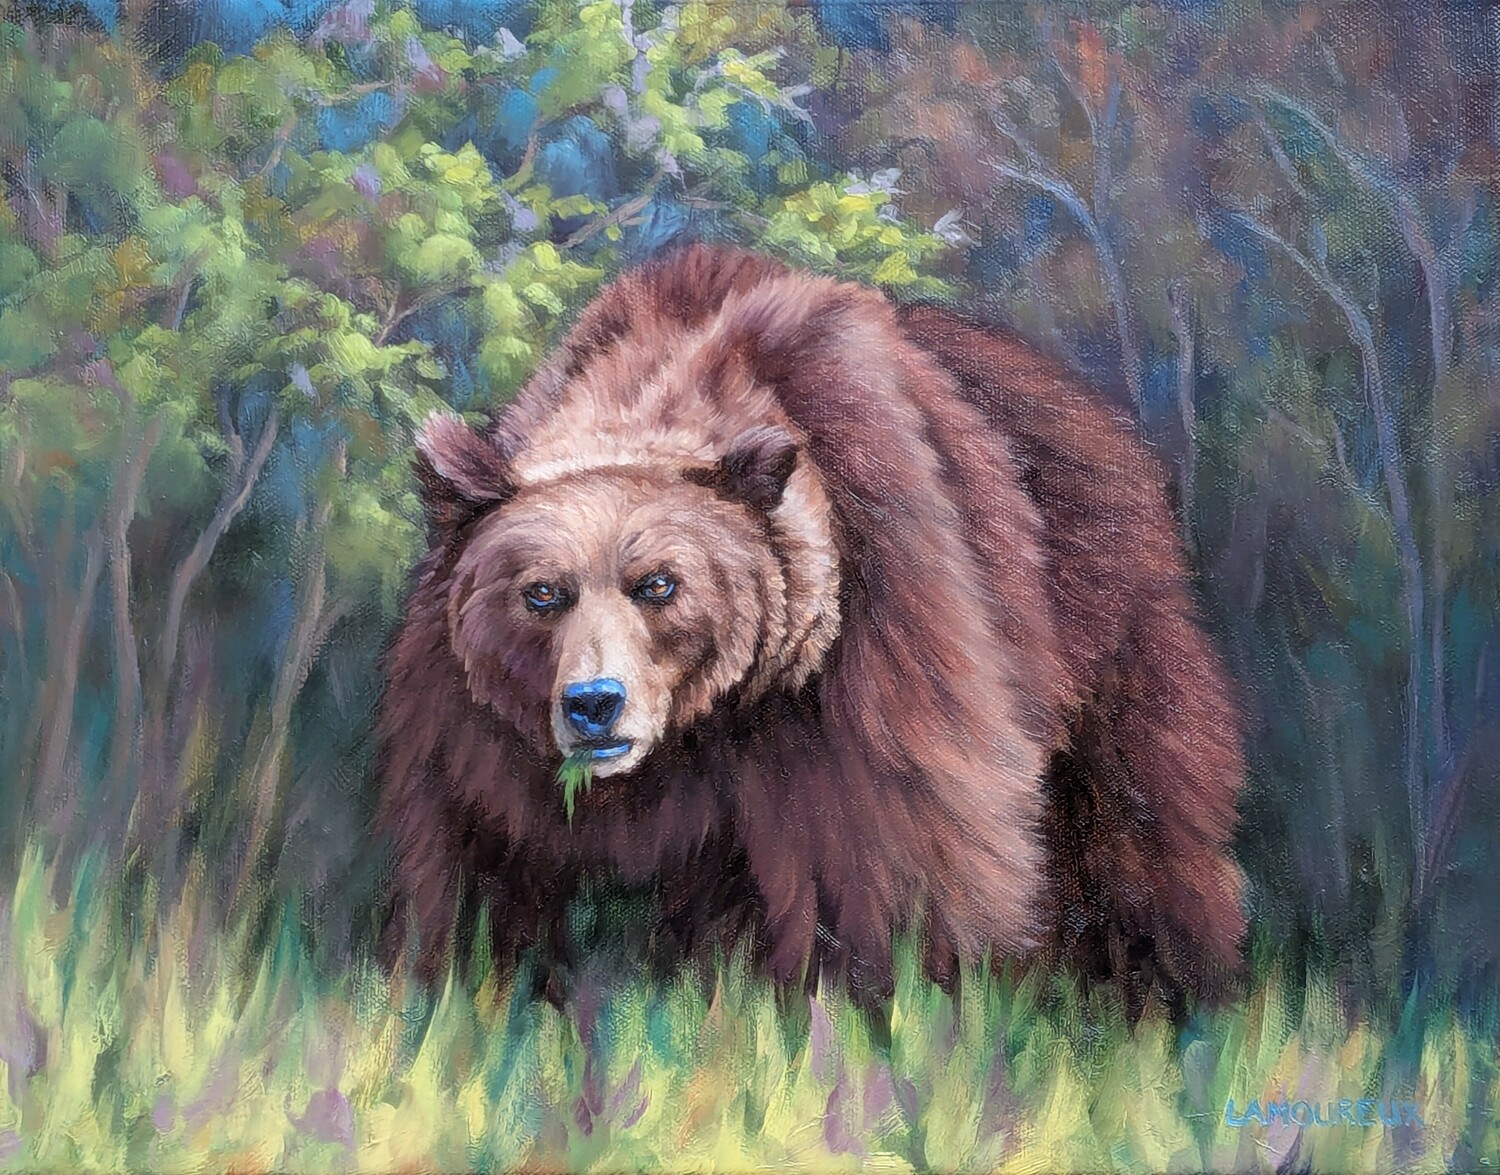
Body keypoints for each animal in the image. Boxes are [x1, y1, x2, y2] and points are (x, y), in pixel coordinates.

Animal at [375, 242, 1247, 1013]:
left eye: (658, 584)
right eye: (542, 592)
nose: (595, 703)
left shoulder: (872, 654)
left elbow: (902, 851)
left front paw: (897, 1001)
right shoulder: (479, 729)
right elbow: (482, 863)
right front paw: (473, 985)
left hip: (1100, 622)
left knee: (1137, 817)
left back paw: (1167, 990)